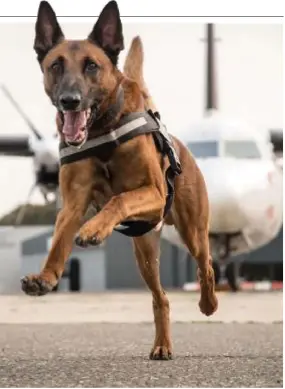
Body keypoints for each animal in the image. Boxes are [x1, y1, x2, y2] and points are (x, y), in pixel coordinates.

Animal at [21, 0, 217, 358]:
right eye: (55, 65)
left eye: (91, 66)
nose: (70, 100)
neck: (102, 129)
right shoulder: (72, 204)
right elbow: (58, 243)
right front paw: (46, 277)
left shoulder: (154, 192)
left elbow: (119, 197)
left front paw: (94, 229)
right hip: (145, 254)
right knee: (160, 298)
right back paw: (162, 345)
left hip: (193, 231)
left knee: (205, 265)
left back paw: (208, 304)